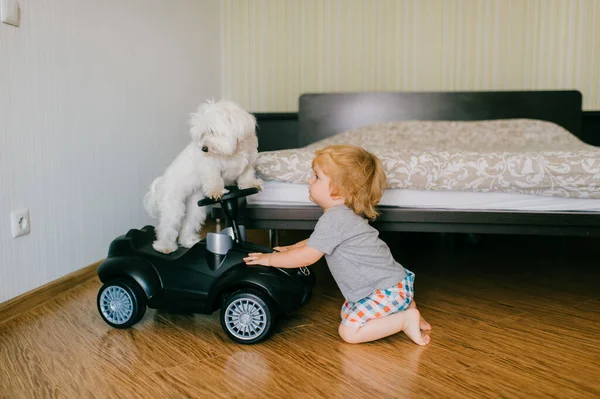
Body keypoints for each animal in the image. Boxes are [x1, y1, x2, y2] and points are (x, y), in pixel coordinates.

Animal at [143, 101, 262, 256]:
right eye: (202, 134)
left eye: (212, 131)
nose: (204, 149)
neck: (232, 151)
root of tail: (161, 185)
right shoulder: (210, 167)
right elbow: (213, 179)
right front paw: (216, 191)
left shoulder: (248, 162)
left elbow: (246, 174)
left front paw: (250, 183)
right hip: (174, 207)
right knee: (166, 227)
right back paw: (164, 246)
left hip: (195, 207)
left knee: (189, 223)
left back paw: (189, 242)